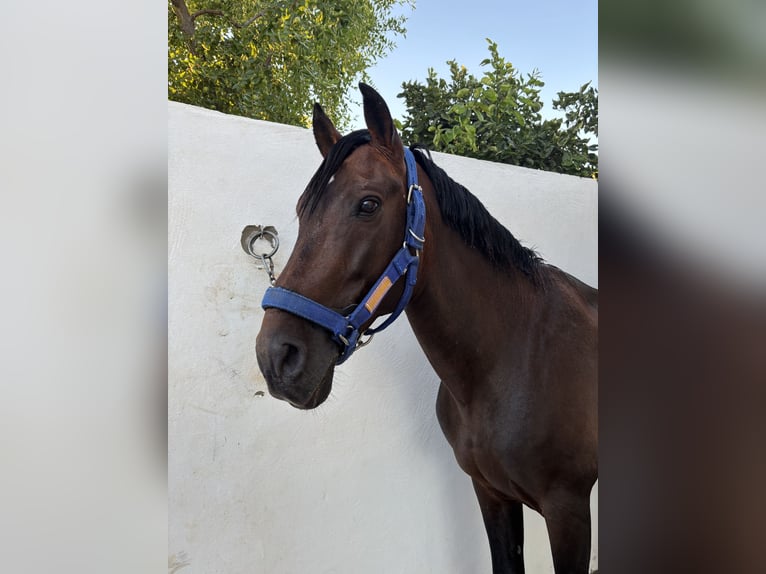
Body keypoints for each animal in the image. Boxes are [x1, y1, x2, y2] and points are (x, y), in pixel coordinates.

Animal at [255, 83, 598, 574]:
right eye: (303, 212)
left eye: (368, 204)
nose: (277, 356)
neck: (514, 357)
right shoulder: (491, 494)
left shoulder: (568, 511)